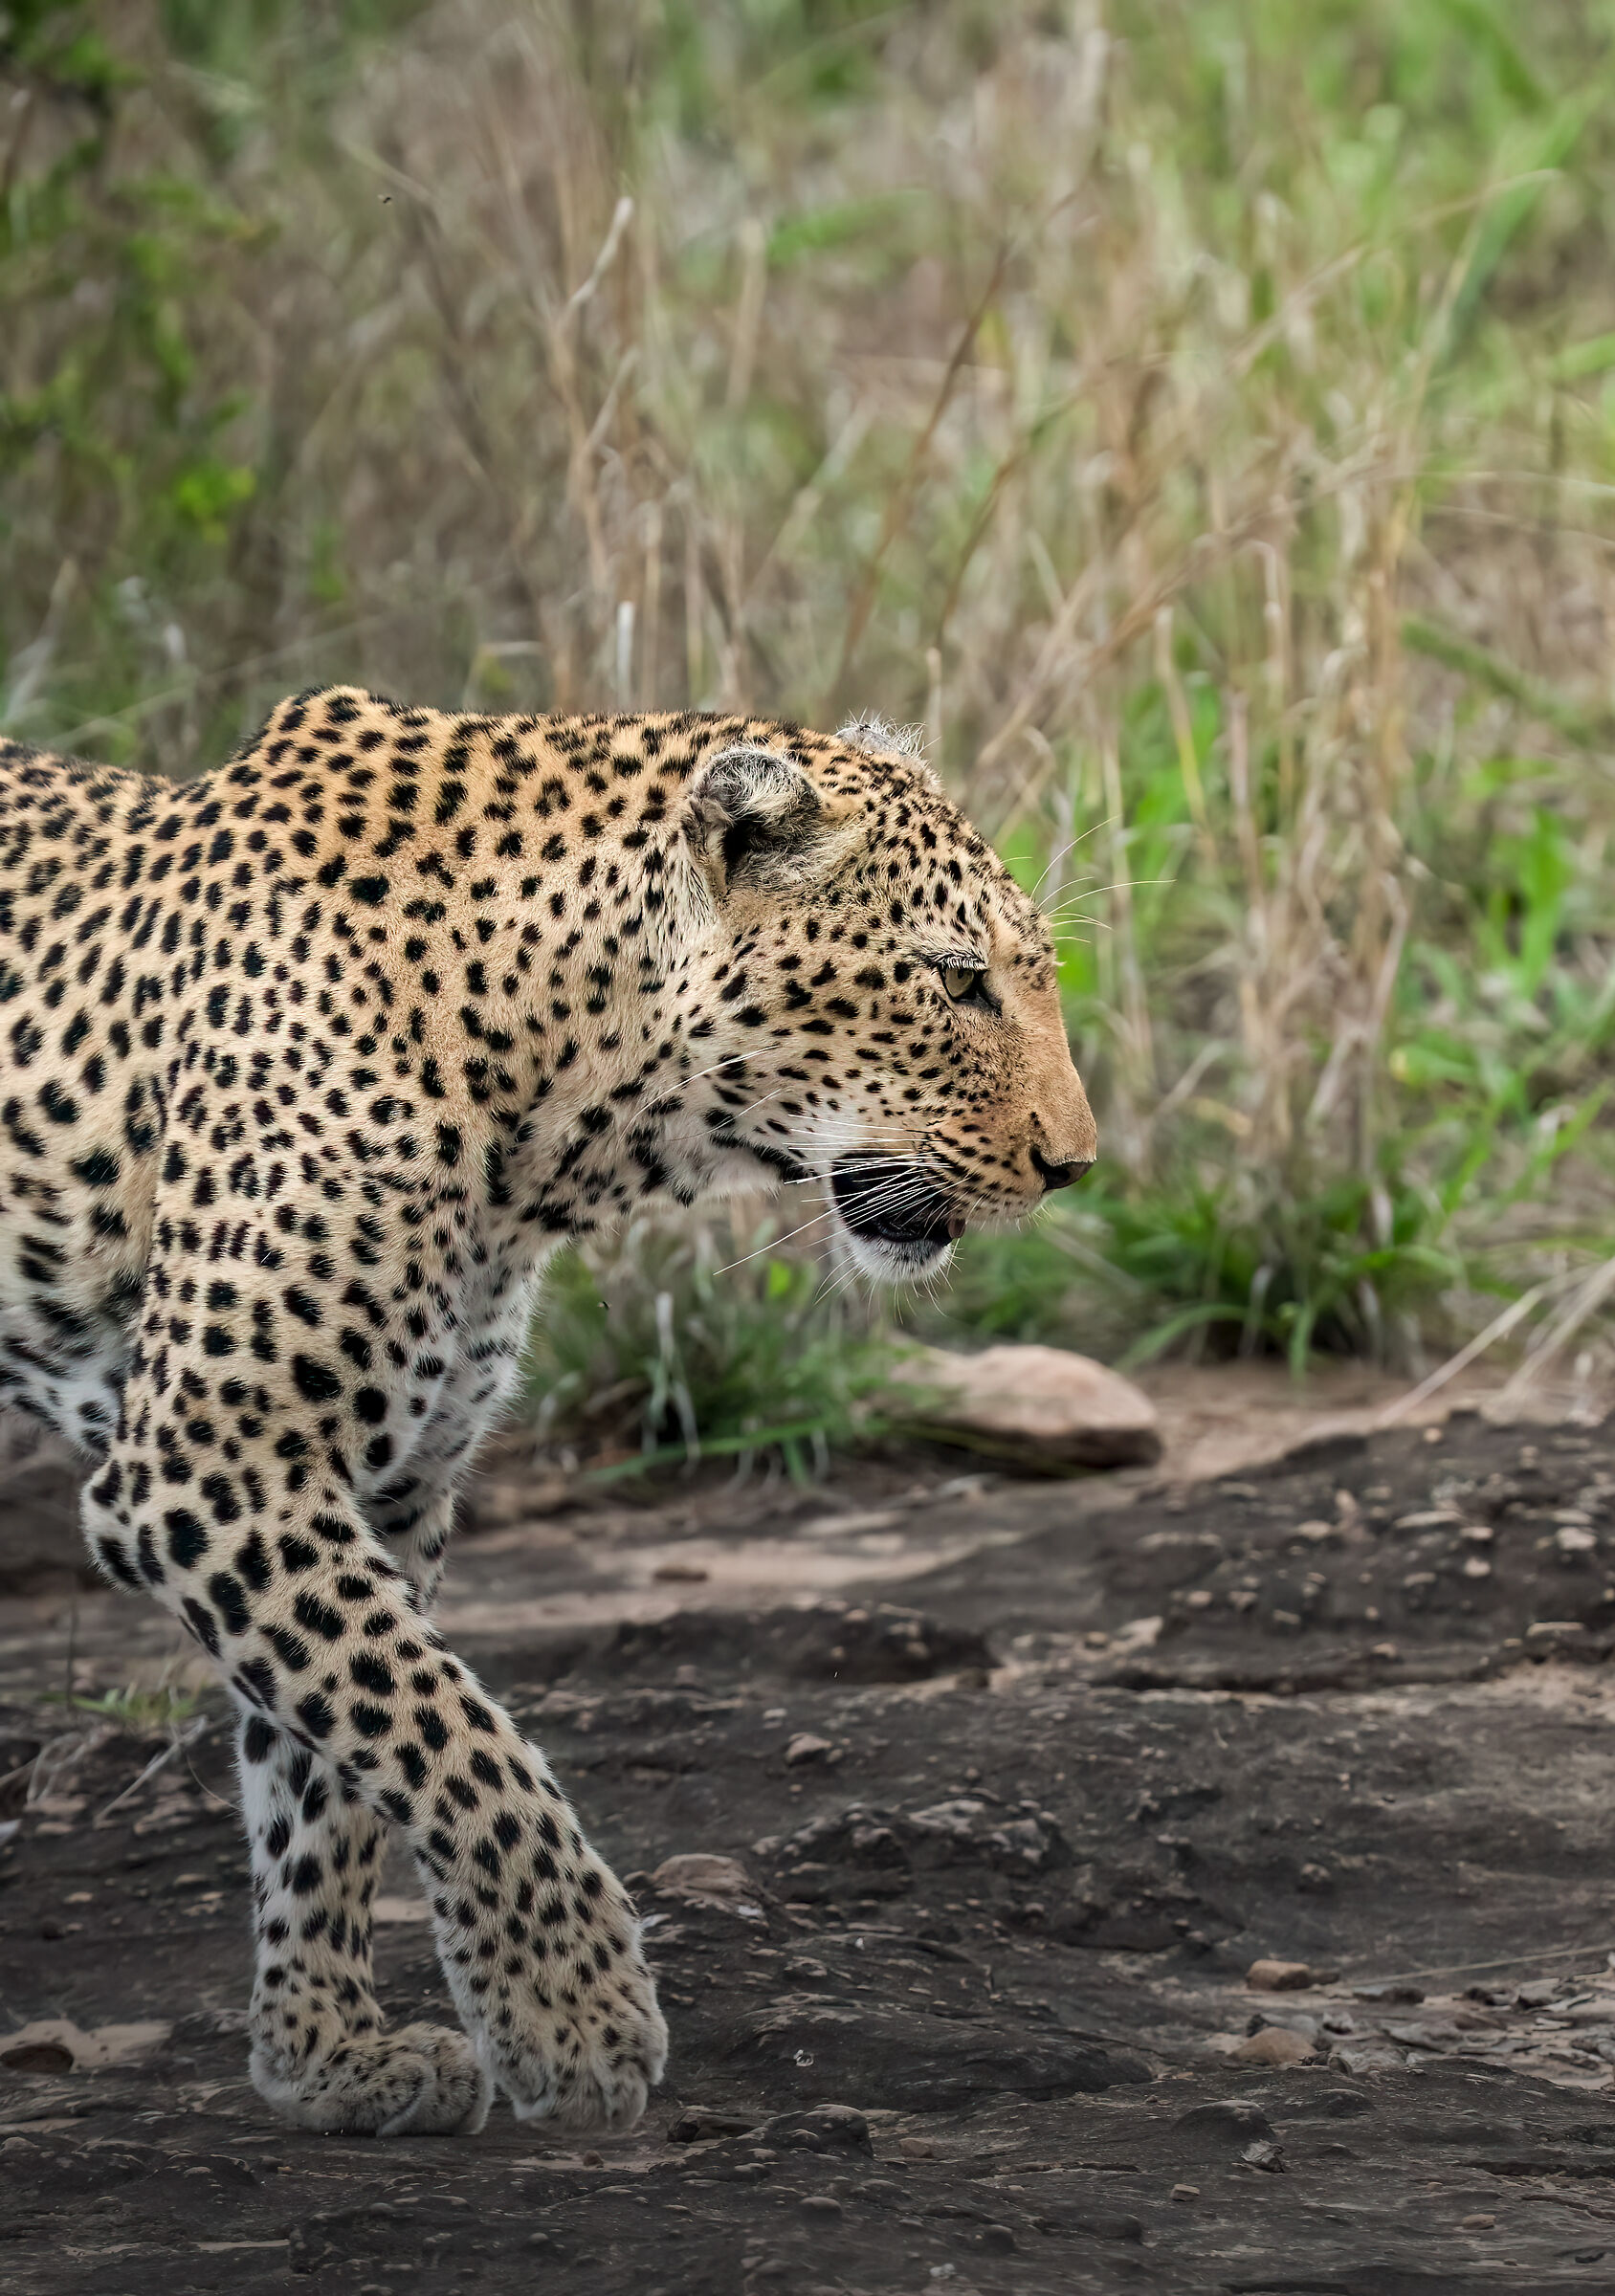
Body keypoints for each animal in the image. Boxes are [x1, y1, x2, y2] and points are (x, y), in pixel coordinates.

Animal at [0, 688, 1097, 2137]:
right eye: (954, 979)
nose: (1075, 1164)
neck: (548, 1098)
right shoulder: (212, 1454)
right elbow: (439, 1726)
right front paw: (571, 2009)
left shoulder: (382, 1482)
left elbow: (327, 1775)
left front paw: (323, 2053)